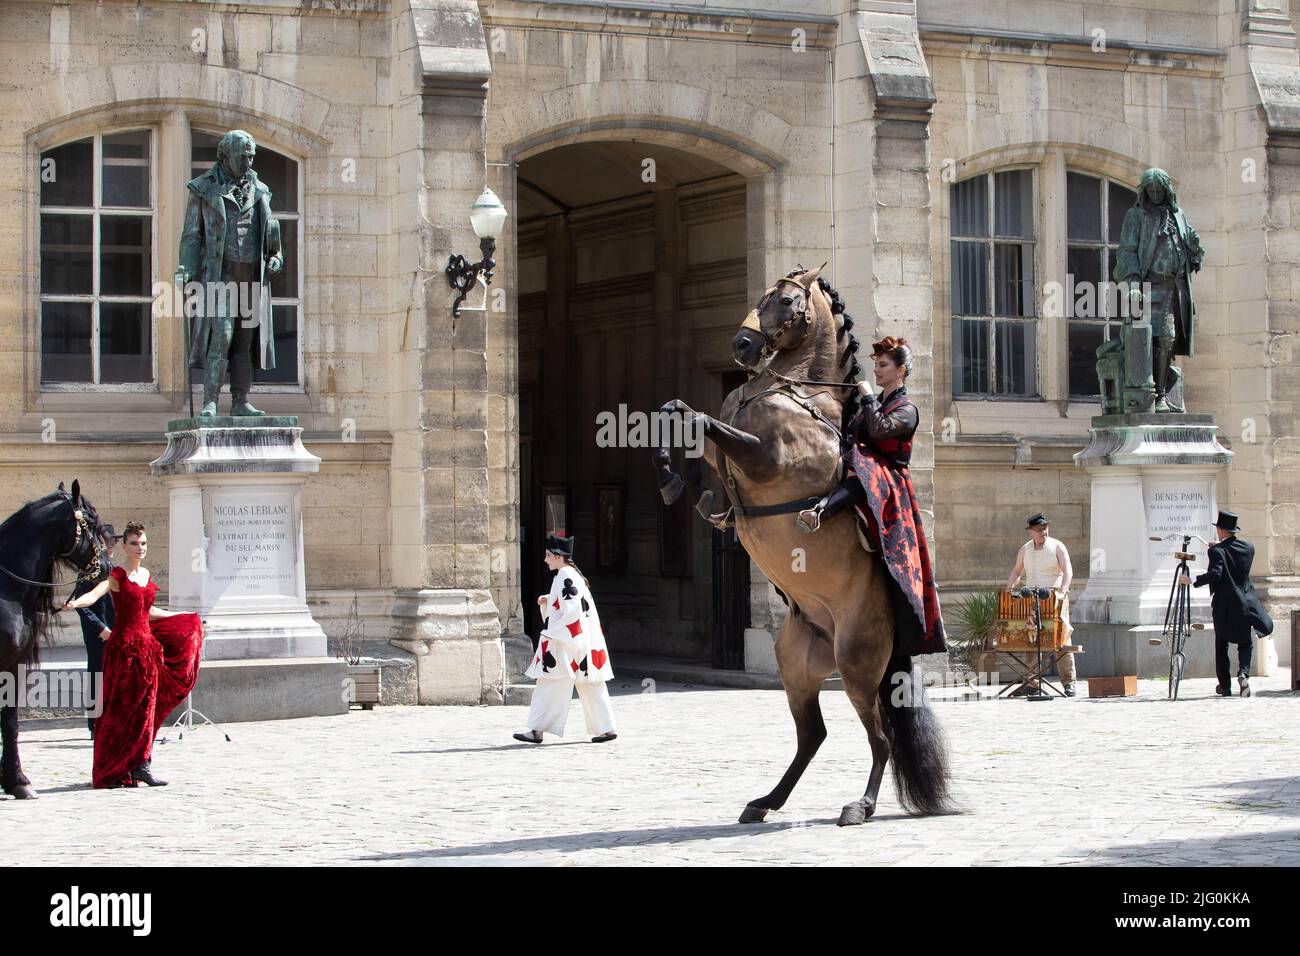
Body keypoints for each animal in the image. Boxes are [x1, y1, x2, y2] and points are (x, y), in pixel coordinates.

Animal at [655, 265, 951, 827]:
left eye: (788, 301)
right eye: (763, 294)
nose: (742, 345)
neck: (791, 391)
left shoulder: (765, 458)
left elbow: (701, 422)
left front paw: (680, 483)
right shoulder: (728, 449)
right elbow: (682, 415)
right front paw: (679, 483)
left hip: (856, 664)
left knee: (879, 738)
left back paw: (859, 806)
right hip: (796, 666)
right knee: (813, 735)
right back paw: (765, 802)